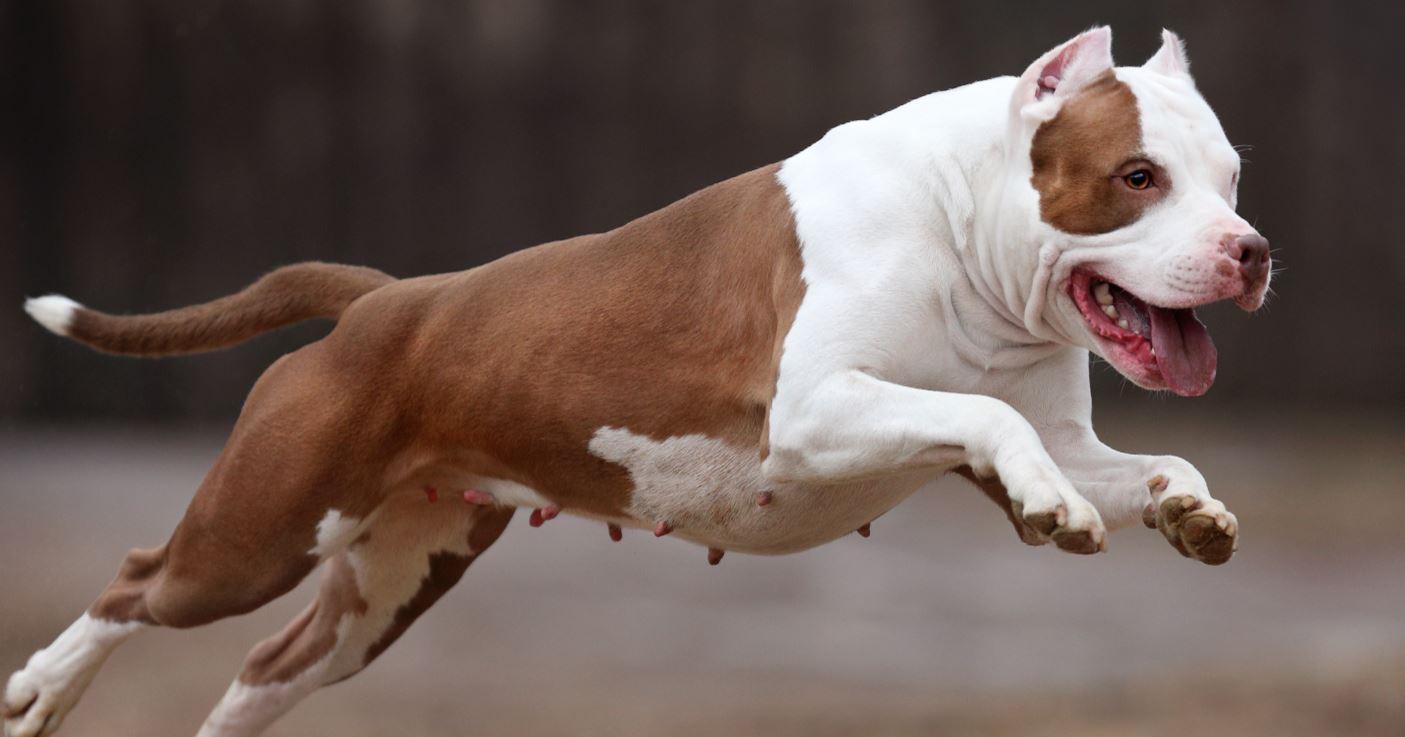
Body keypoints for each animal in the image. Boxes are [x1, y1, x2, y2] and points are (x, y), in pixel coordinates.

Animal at [2, 27, 1275, 735]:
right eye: (1137, 176)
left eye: (1228, 173)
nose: (1252, 251)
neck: (963, 228)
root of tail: (385, 300)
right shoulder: (814, 412)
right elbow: (982, 409)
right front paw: (1047, 505)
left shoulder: (1059, 432)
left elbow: (1133, 452)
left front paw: (1187, 507)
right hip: (261, 528)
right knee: (136, 580)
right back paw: (42, 690)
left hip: (386, 585)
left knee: (262, 670)